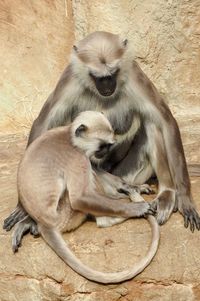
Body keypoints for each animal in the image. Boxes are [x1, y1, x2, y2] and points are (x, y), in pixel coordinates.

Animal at [3, 31, 200, 246]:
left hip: (129, 171)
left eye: (112, 74)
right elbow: (43, 123)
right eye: (98, 77)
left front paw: (185, 198)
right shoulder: (70, 77)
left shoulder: (133, 73)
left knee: (152, 123)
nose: (107, 86)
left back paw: (166, 193)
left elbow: (166, 121)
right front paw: (23, 208)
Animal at [15, 111, 159, 282]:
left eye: (108, 146)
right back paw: (111, 216)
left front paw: (131, 187)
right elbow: (79, 198)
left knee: (93, 169)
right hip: (65, 215)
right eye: (103, 146)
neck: (69, 136)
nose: (105, 153)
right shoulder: (76, 156)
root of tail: (44, 222)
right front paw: (138, 208)